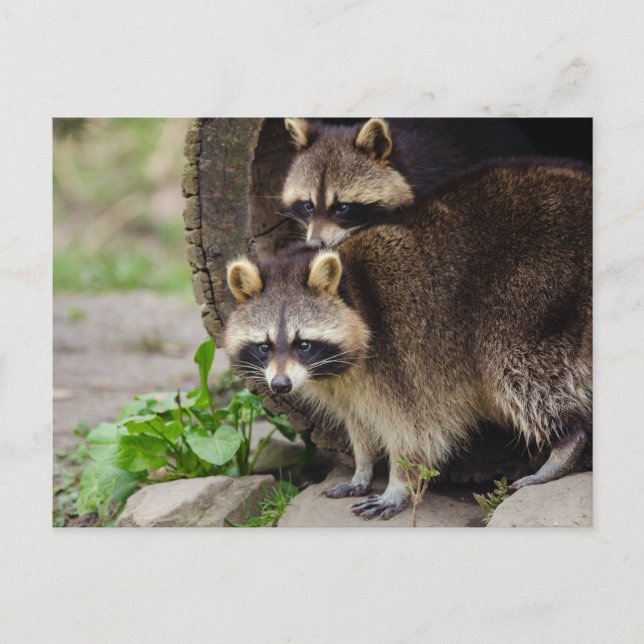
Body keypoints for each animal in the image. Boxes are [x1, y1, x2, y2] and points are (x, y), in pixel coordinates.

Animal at [226, 161, 592, 520]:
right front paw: (362, 467)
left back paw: (566, 439)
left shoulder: (404, 359)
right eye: (264, 346)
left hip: (530, 294)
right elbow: (358, 425)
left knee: (518, 371)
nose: (281, 385)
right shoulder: (344, 387)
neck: (353, 288)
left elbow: (415, 431)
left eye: (303, 344)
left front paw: (398, 483)